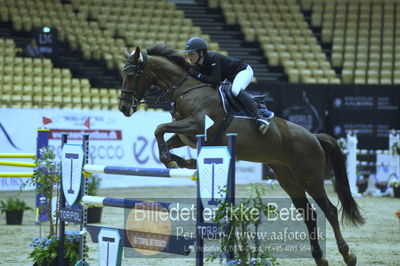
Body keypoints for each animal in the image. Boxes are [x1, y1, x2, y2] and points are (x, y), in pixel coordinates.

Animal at [117, 44, 364, 264]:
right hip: (289, 179)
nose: (124, 108)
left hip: (310, 177)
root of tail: (314, 137)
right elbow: (164, 137)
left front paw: (174, 161)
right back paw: (320, 258)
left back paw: (348, 255)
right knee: (309, 214)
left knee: (330, 211)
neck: (186, 89)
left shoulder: (196, 125)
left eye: (132, 74)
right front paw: (182, 161)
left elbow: (159, 129)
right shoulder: (186, 133)